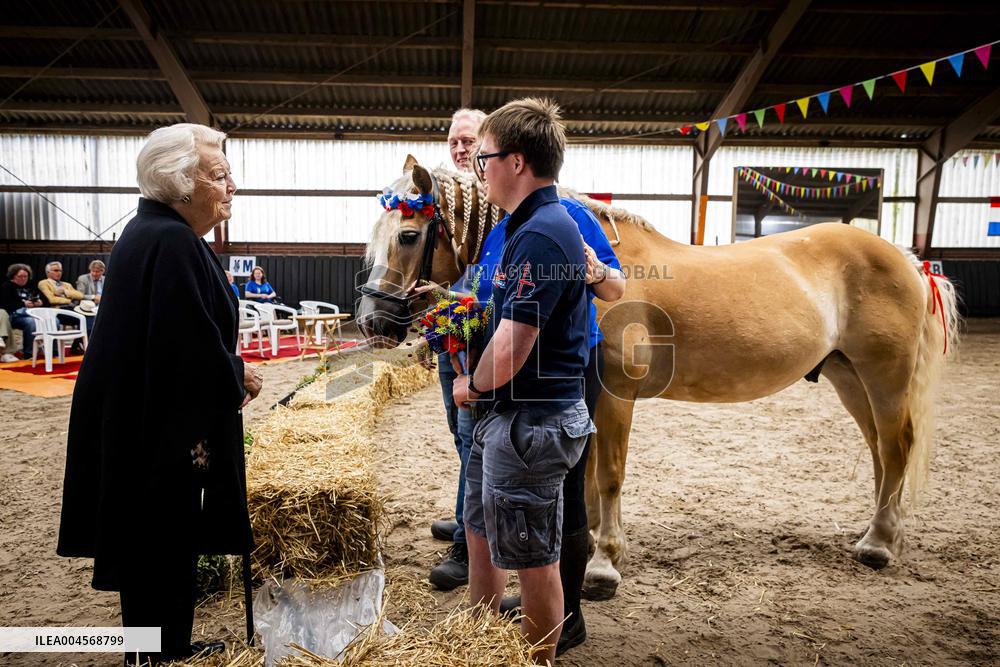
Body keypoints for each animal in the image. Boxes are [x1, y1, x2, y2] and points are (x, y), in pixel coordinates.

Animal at [357, 155, 960, 600]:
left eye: (408, 235)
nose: (371, 321)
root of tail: (907, 259)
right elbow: (586, 472)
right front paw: (593, 544)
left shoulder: (617, 393)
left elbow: (608, 475)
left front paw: (603, 565)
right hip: (848, 376)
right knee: (882, 452)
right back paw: (878, 532)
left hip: (883, 376)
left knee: (897, 448)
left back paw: (879, 544)